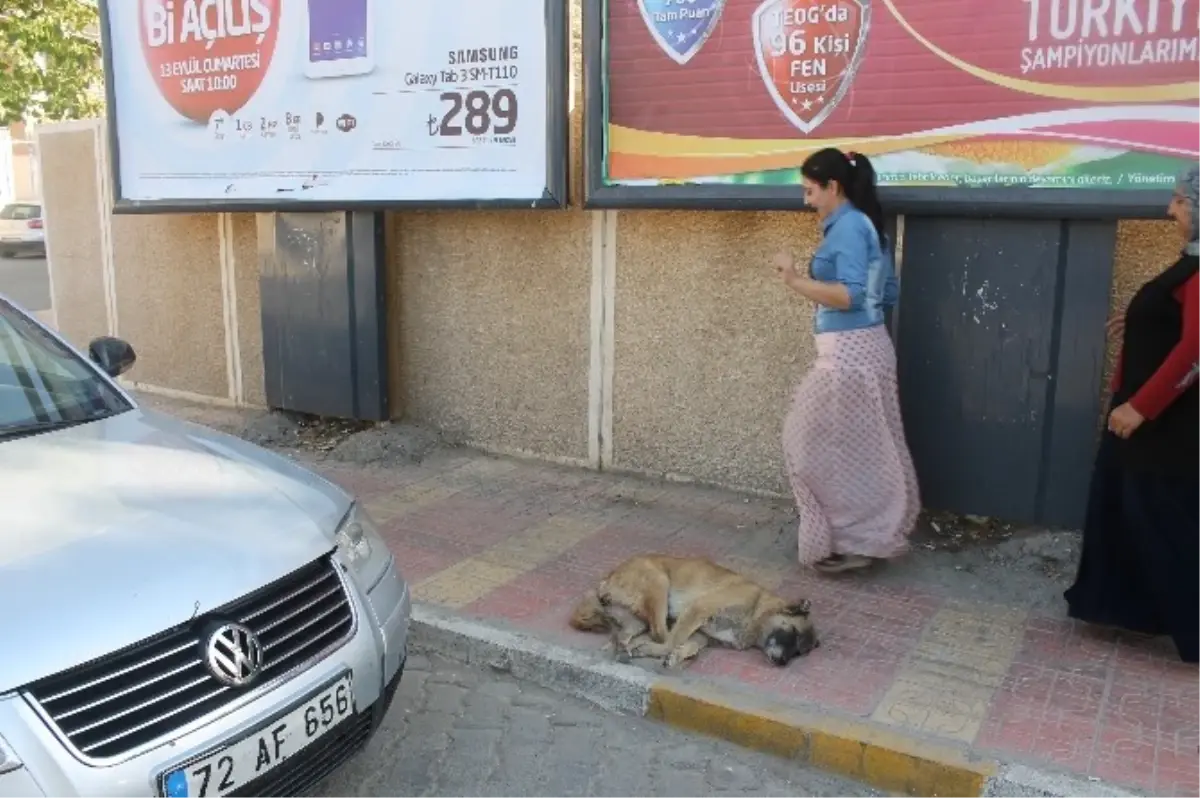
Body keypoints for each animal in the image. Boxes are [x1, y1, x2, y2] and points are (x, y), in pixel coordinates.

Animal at [568, 554, 816, 667]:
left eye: (799, 652)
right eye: (793, 633)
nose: (783, 663)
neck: (757, 609)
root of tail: (607, 578)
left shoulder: (703, 635)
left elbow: (690, 646)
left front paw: (676, 655)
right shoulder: (698, 610)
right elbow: (674, 640)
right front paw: (665, 651)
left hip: (636, 620)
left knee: (624, 635)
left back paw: (623, 646)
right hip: (659, 583)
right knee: (659, 633)